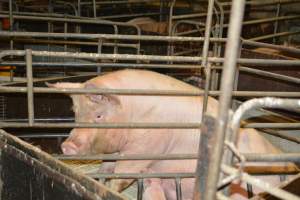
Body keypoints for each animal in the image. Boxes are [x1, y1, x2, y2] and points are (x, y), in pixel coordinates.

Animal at [48, 69, 296, 200]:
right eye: (75, 112)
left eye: (99, 115)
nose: (67, 146)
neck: (133, 112)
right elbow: (107, 168)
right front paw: (99, 178)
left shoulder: (145, 148)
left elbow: (123, 174)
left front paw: (109, 190)